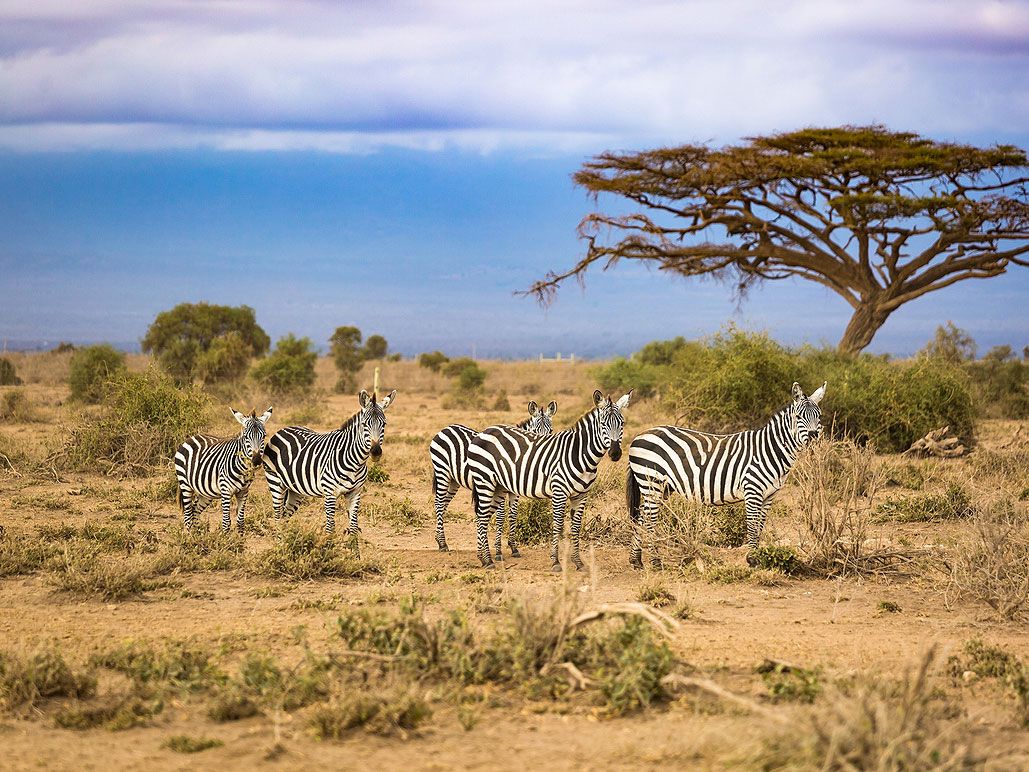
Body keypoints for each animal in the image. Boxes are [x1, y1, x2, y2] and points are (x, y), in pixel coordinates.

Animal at [261, 389, 396, 533]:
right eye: (364, 424)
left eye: (384, 424)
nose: (375, 452)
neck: (356, 462)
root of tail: (283, 429)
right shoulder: (330, 492)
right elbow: (330, 527)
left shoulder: (355, 492)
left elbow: (354, 527)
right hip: (275, 482)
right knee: (277, 516)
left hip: (295, 489)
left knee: (285, 515)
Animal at [429, 400, 558, 559]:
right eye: (534, 431)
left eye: (551, 431)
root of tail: (446, 428)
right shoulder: (500, 487)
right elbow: (501, 516)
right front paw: (498, 551)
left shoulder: (514, 491)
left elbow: (513, 515)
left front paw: (513, 547)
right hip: (442, 472)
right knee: (439, 503)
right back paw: (442, 543)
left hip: (454, 480)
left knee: (444, 504)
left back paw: (439, 539)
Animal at [467, 389, 632, 571]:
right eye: (603, 424)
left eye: (622, 423)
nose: (615, 453)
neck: (579, 454)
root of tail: (485, 430)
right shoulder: (559, 492)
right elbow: (558, 525)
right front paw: (556, 561)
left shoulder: (581, 495)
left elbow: (575, 528)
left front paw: (578, 562)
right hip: (485, 481)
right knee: (482, 517)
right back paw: (488, 560)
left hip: (498, 486)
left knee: (482, 517)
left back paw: (482, 558)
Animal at [626, 381, 826, 568]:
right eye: (798, 417)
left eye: (819, 416)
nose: (813, 437)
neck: (769, 450)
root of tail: (640, 435)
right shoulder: (752, 490)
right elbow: (752, 526)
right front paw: (752, 559)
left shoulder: (769, 495)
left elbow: (760, 527)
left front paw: (759, 558)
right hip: (652, 482)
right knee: (649, 521)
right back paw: (655, 562)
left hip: (662, 488)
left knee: (641, 518)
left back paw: (636, 560)